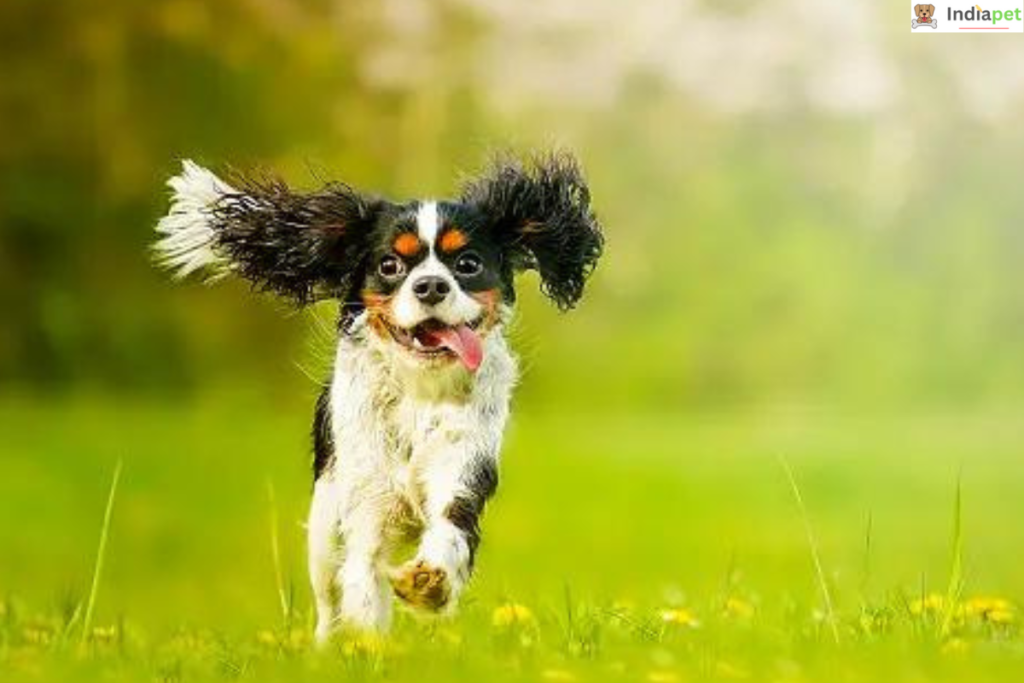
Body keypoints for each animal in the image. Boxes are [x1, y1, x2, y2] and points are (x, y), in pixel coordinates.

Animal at [149, 153, 602, 643]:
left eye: (467, 263)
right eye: (389, 266)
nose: (430, 286)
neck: (419, 388)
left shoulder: (461, 467)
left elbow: (450, 529)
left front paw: (429, 583)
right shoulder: (367, 504)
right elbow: (363, 584)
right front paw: (368, 648)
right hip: (324, 527)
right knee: (329, 600)